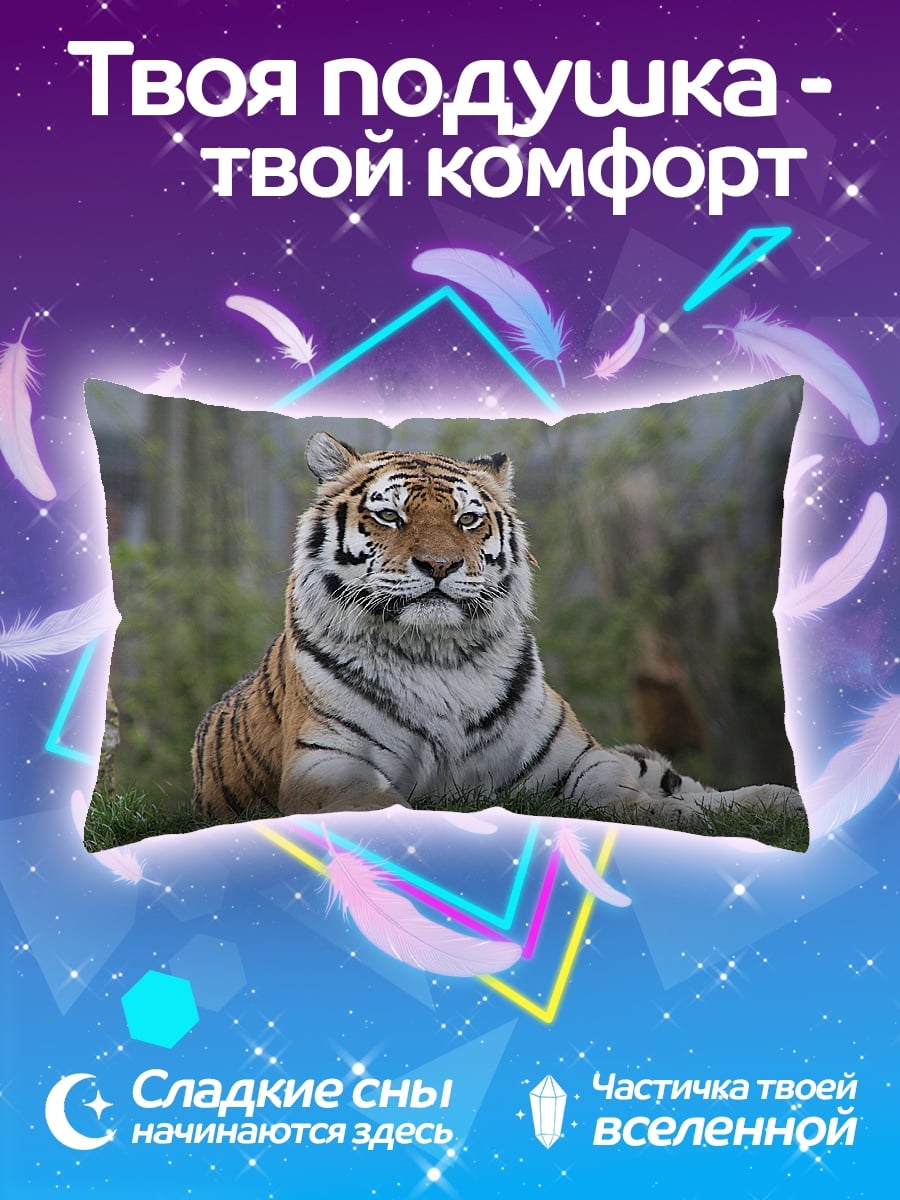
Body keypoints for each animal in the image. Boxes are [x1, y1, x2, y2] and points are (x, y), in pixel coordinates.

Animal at [192, 431, 802, 831]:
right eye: (389, 516)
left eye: (467, 519)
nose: (439, 565)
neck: (438, 658)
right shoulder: (326, 765)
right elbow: (378, 805)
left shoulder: (573, 760)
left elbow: (621, 794)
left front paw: (658, 813)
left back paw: (776, 799)